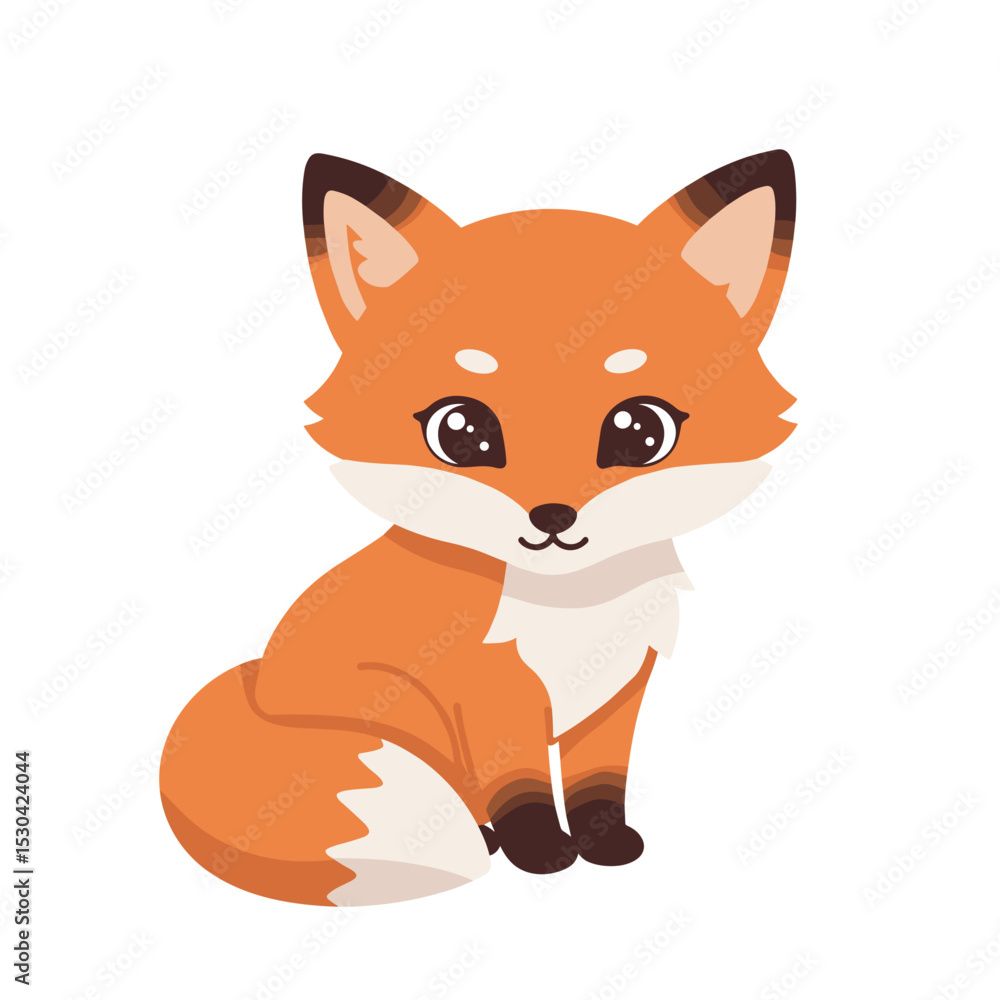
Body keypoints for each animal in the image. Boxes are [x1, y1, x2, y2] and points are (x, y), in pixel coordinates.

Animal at [160, 149, 797, 906]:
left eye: (641, 431)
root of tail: (255, 685)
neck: (570, 612)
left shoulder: (617, 694)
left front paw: (604, 842)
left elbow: (598, 785)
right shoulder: (489, 697)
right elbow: (519, 788)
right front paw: (541, 851)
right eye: (460, 431)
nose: (553, 518)